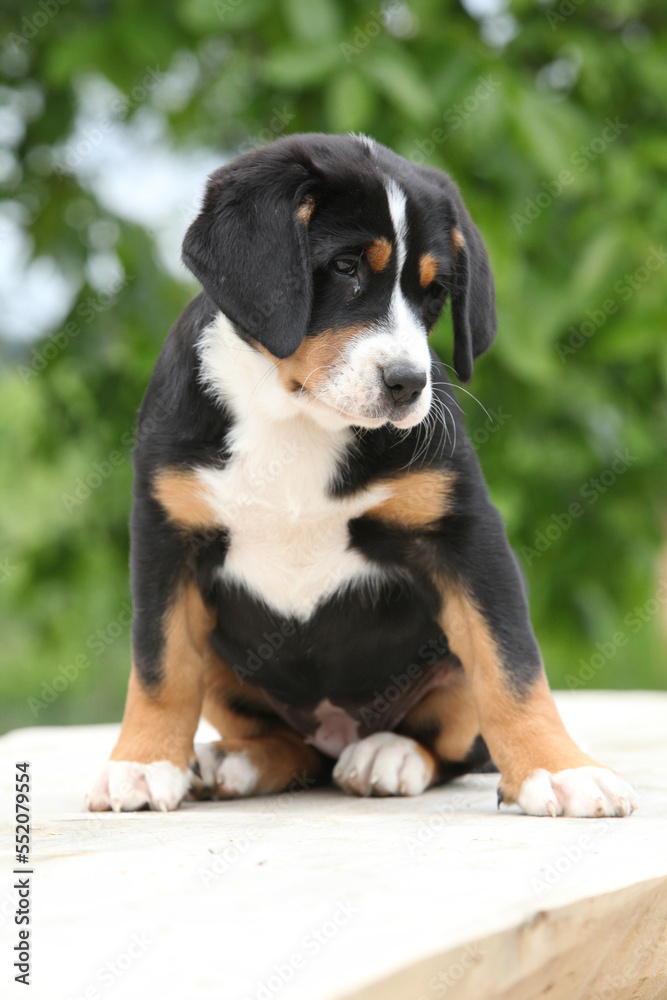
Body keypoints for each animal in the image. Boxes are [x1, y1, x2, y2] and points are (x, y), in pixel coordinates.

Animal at [86, 133, 640, 816]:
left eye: (435, 292)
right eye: (347, 267)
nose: (408, 383)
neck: (297, 417)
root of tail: (336, 733)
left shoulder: (466, 538)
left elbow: (511, 664)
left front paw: (561, 770)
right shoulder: (168, 538)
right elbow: (160, 665)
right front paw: (142, 763)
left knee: (449, 742)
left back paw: (388, 755)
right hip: (225, 658)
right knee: (287, 745)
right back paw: (235, 761)